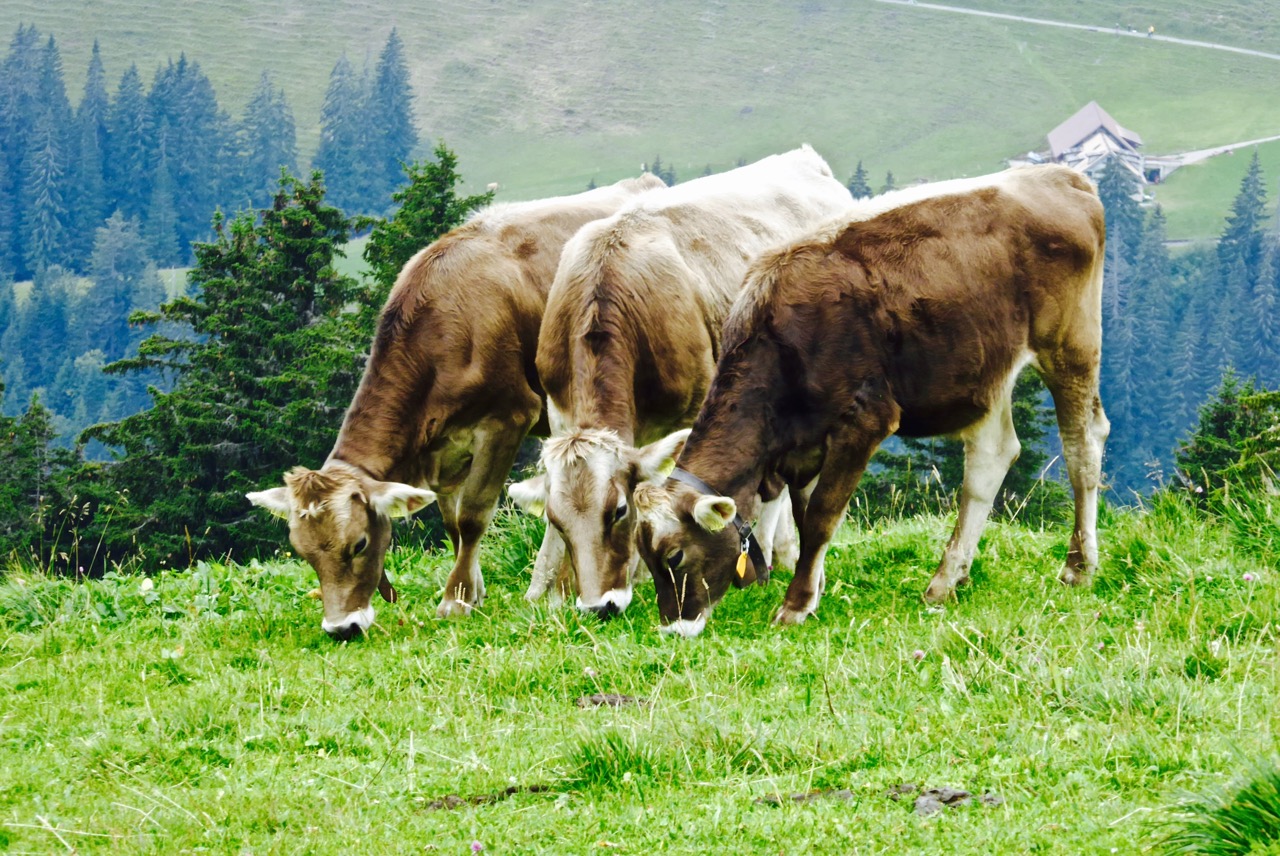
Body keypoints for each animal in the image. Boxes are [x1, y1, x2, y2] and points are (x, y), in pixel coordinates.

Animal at [241, 174, 670, 637]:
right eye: (304, 553)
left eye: (359, 544)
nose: (342, 628)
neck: (442, 329)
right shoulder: (439, 449)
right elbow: (451, 521)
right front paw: (473, 589)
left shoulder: (507, 418)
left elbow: (472, 516)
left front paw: (457, 599)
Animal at [504, 147, 855, 614]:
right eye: (557, 521)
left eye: (619, 511)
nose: (601, 607)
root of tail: (803, 158)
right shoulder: (561, 415)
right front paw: (546, 591)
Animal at [634, 165, 1105, 634]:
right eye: (646, 561)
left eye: (674, 555)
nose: (673, 628)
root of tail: (1057, 176)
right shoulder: (804, 445)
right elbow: (804, 516)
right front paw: (814, 589)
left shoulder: (864, 419)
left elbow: (822, 517)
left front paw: (795, 604)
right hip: (987, 367)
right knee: (991, 459)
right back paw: (946, 580)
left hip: (1070, 344)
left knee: (1082, 447)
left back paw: (1078, 567)